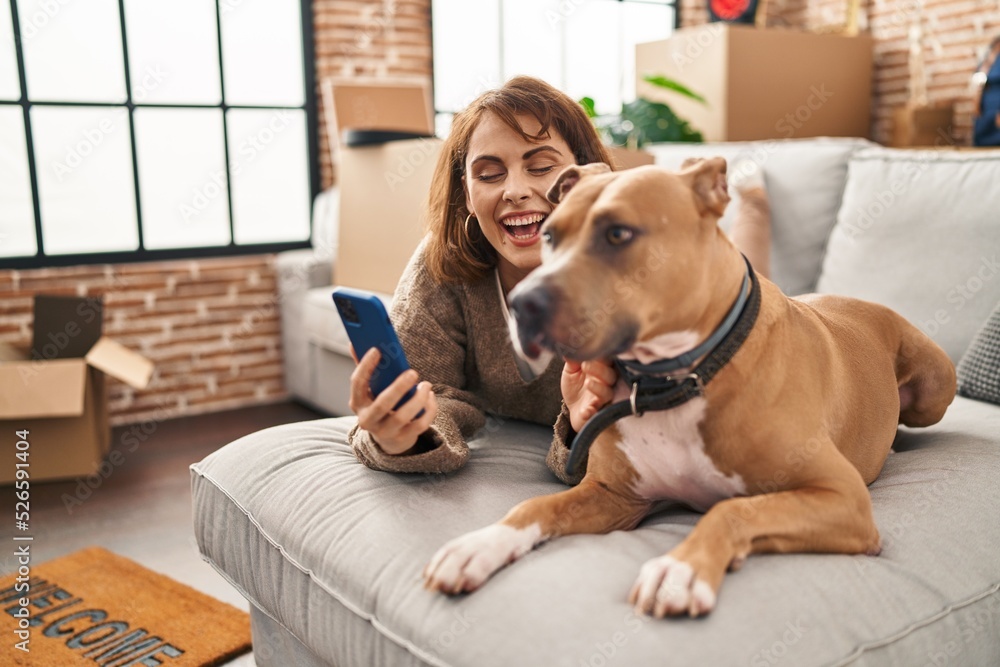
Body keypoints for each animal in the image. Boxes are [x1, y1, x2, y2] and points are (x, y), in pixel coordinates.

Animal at [418, 159, 956, 620]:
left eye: (618, 233)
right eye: (549, 235)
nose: (522, 303)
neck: (673, 379)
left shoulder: (840, 496)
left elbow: (731, 509)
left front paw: (680, 568)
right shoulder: (614, 496)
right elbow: (536, 505)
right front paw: (480, 545)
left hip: (936, 386)